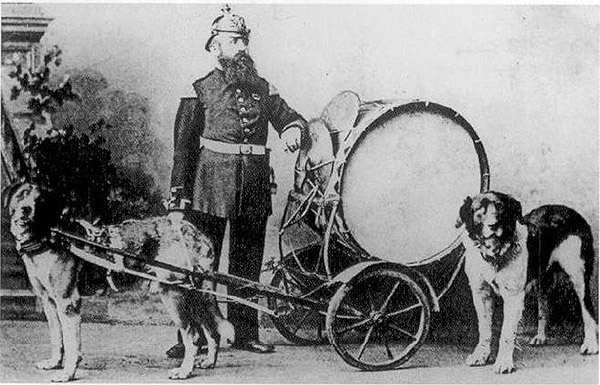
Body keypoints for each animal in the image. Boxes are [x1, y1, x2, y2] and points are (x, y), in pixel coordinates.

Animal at [4, 182, 234, 380]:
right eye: (21, 195)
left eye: (41, 201)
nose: (25, 210)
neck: (50, 236)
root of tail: (192, 231)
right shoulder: (49, 302)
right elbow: (56, 336)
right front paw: (54, 362)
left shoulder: (68, 303)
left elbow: (71, 344)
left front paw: (67, 373)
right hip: (197, 296)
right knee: (212, 330)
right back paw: (209, 361)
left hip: (174, 296)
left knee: (193, 335)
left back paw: (185, 371)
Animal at [458, 190, 528, 374]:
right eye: (479, 209)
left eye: (501, 208)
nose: (493, 225)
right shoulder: (481, 293)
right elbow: (484, 328)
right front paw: (481, 355)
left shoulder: (513, 296)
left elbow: (507, 333)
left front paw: (503, 362)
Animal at [524, 206, 596, 352]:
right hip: (542, 279)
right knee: (543, 309)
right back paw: (540, 336)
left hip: (578, 277)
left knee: (588, 310)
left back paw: (590, 344)